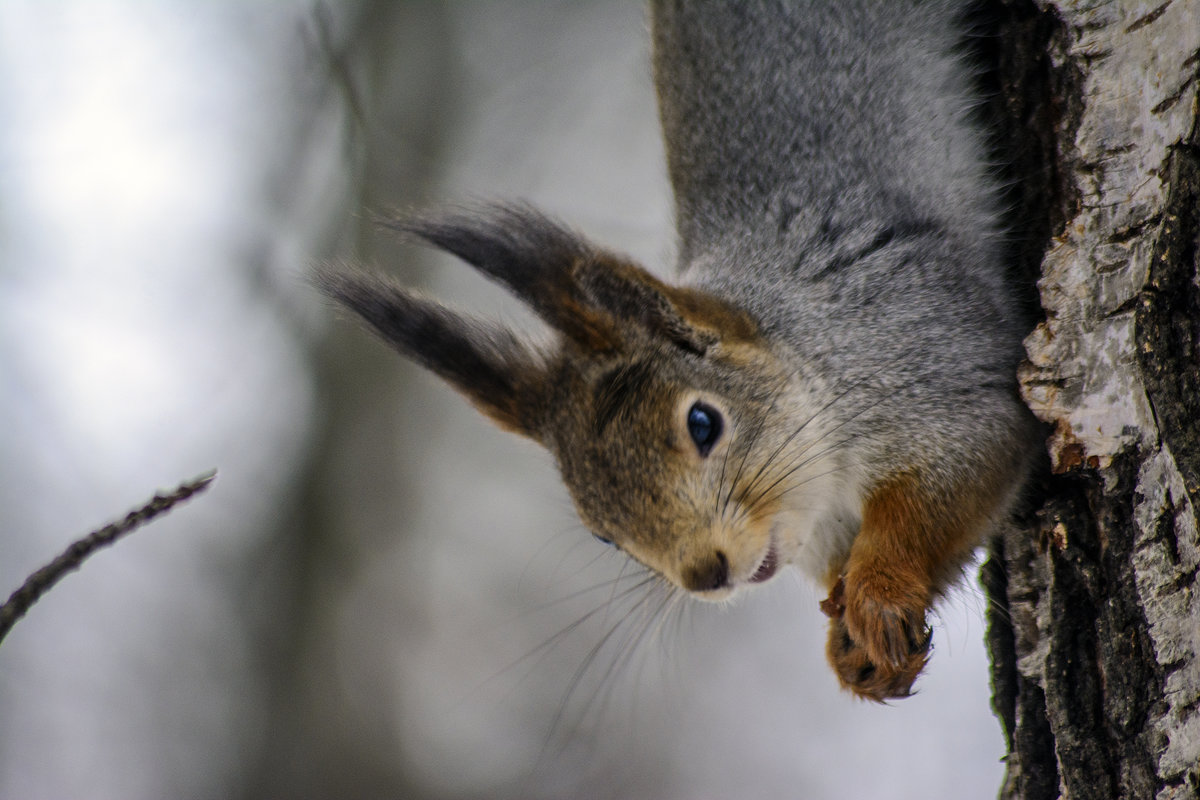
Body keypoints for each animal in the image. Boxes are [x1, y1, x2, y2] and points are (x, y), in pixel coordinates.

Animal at [319, 1, 1041, 700]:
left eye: (702, 423)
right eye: (599, 530)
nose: (706, 574)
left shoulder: (926, 351)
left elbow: (958, 472)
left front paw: (879, 596)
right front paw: (852, 656)